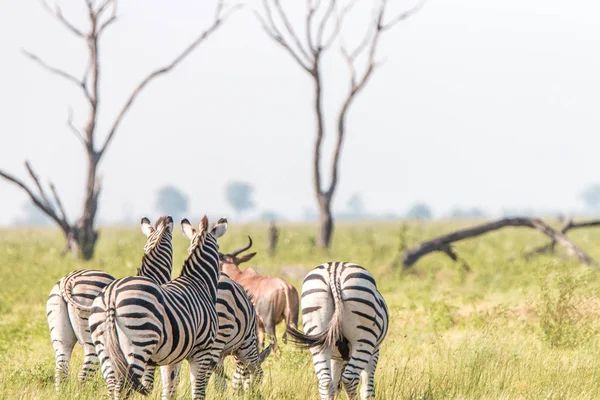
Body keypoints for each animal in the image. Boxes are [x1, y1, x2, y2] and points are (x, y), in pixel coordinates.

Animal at [46, 216, 173, 390]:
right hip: (93, 337)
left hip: (60, 334)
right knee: (84, 372)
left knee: (61, 369)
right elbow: (148, 378)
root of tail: (69, 279)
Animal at [91, 217, 227, 398]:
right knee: (124, 387)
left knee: (112, 384)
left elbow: (169, 389)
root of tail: (111, 295)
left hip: (104, 347)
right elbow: (197, 389)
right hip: (137, 343)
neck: (199, 282)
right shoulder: (202, 350)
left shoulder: (172, 357)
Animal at [286, 262, 390, 400]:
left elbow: (335, 384)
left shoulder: (336, 358)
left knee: (325, 382)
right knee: (350, 379)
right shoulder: (374, 351)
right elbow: (367, 387)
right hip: (364, 340)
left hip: (318, 335)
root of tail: (334, 271)